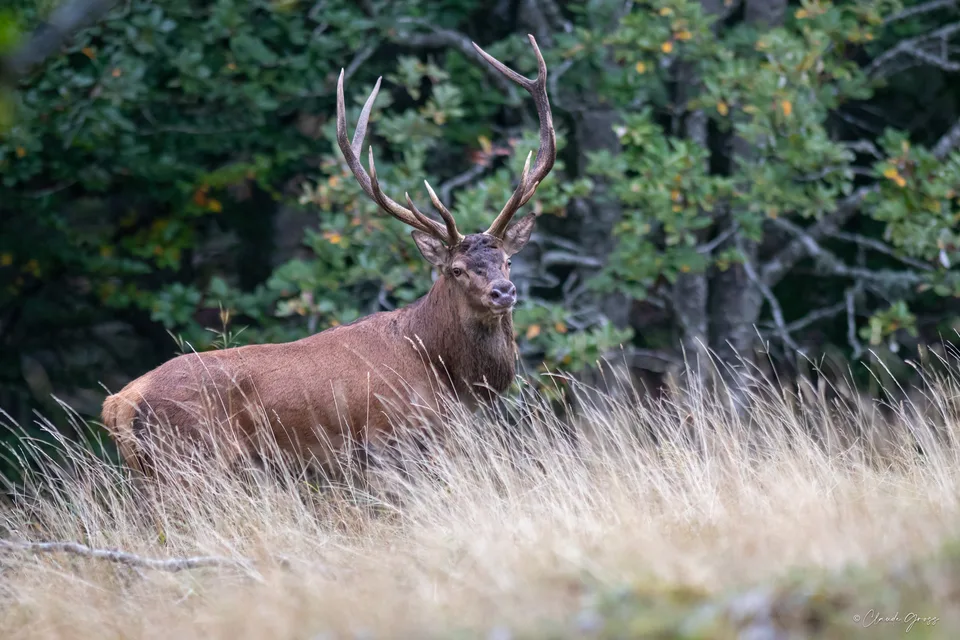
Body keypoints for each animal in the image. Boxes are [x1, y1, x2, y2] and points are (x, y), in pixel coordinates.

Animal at [100, 35, 556, 482]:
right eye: (456, 270)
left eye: (508, 261)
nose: (503, 291)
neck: (444, 373)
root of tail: (119, 403)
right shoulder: (385, 442)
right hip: (188, 461)